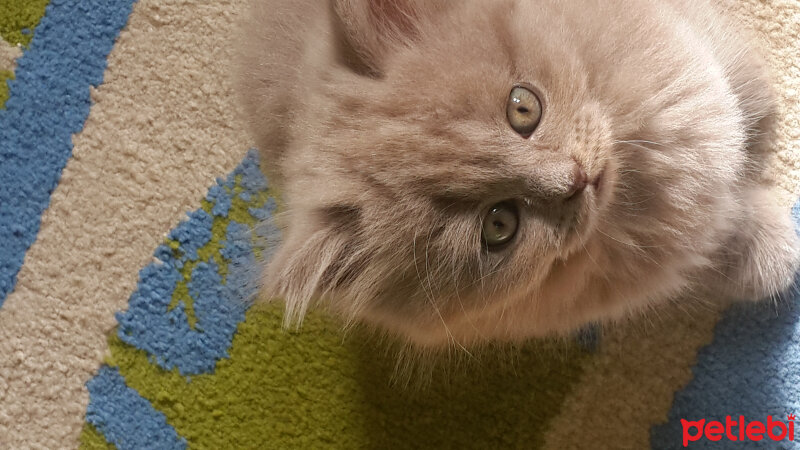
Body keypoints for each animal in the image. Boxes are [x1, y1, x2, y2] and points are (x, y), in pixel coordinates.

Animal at [236, 0, 800, 348]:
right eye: (499, 225)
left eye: (522, 107)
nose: (576, 179)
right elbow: (725, 240)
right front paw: (771, 255)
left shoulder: (696, 41)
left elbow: (745, 98)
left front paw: (760, 143)